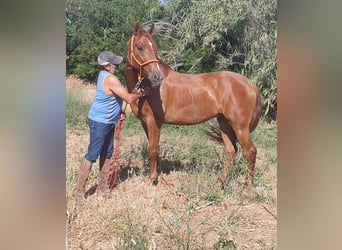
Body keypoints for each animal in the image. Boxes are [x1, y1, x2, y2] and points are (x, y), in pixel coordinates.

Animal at [125, 22, 262, 188]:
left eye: (155, 47)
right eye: (140, 47)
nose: (157, 77)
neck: (147, 87)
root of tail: (251, 85)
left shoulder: (153, 122)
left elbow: (153, 150)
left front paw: (152, 180)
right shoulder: (146, 123)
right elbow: (155, 149)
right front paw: (157, 175)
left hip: (240, 127)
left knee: (250, 151)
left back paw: (248, 186)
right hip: (224, 123)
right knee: (231, 150)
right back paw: (220, 182)